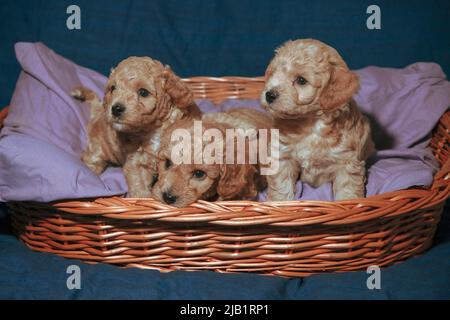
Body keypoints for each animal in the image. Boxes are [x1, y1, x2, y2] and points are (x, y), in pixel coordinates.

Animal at [71, 56, 200, 196]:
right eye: (113, 88)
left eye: (143, 92)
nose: (115, 109)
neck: (153, 129)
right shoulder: (136, 161)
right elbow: (139, 183)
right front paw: (142, 197)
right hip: (97, 147)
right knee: (91, 159)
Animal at [262, 39, 374, 200]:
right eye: (273, 73)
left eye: (301, 80)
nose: (269, 95)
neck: (311, 124)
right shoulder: (283, 156)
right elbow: (281, 187)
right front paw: (279, 203)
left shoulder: (347, 162)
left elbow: (348, 190)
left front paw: (348, 203)